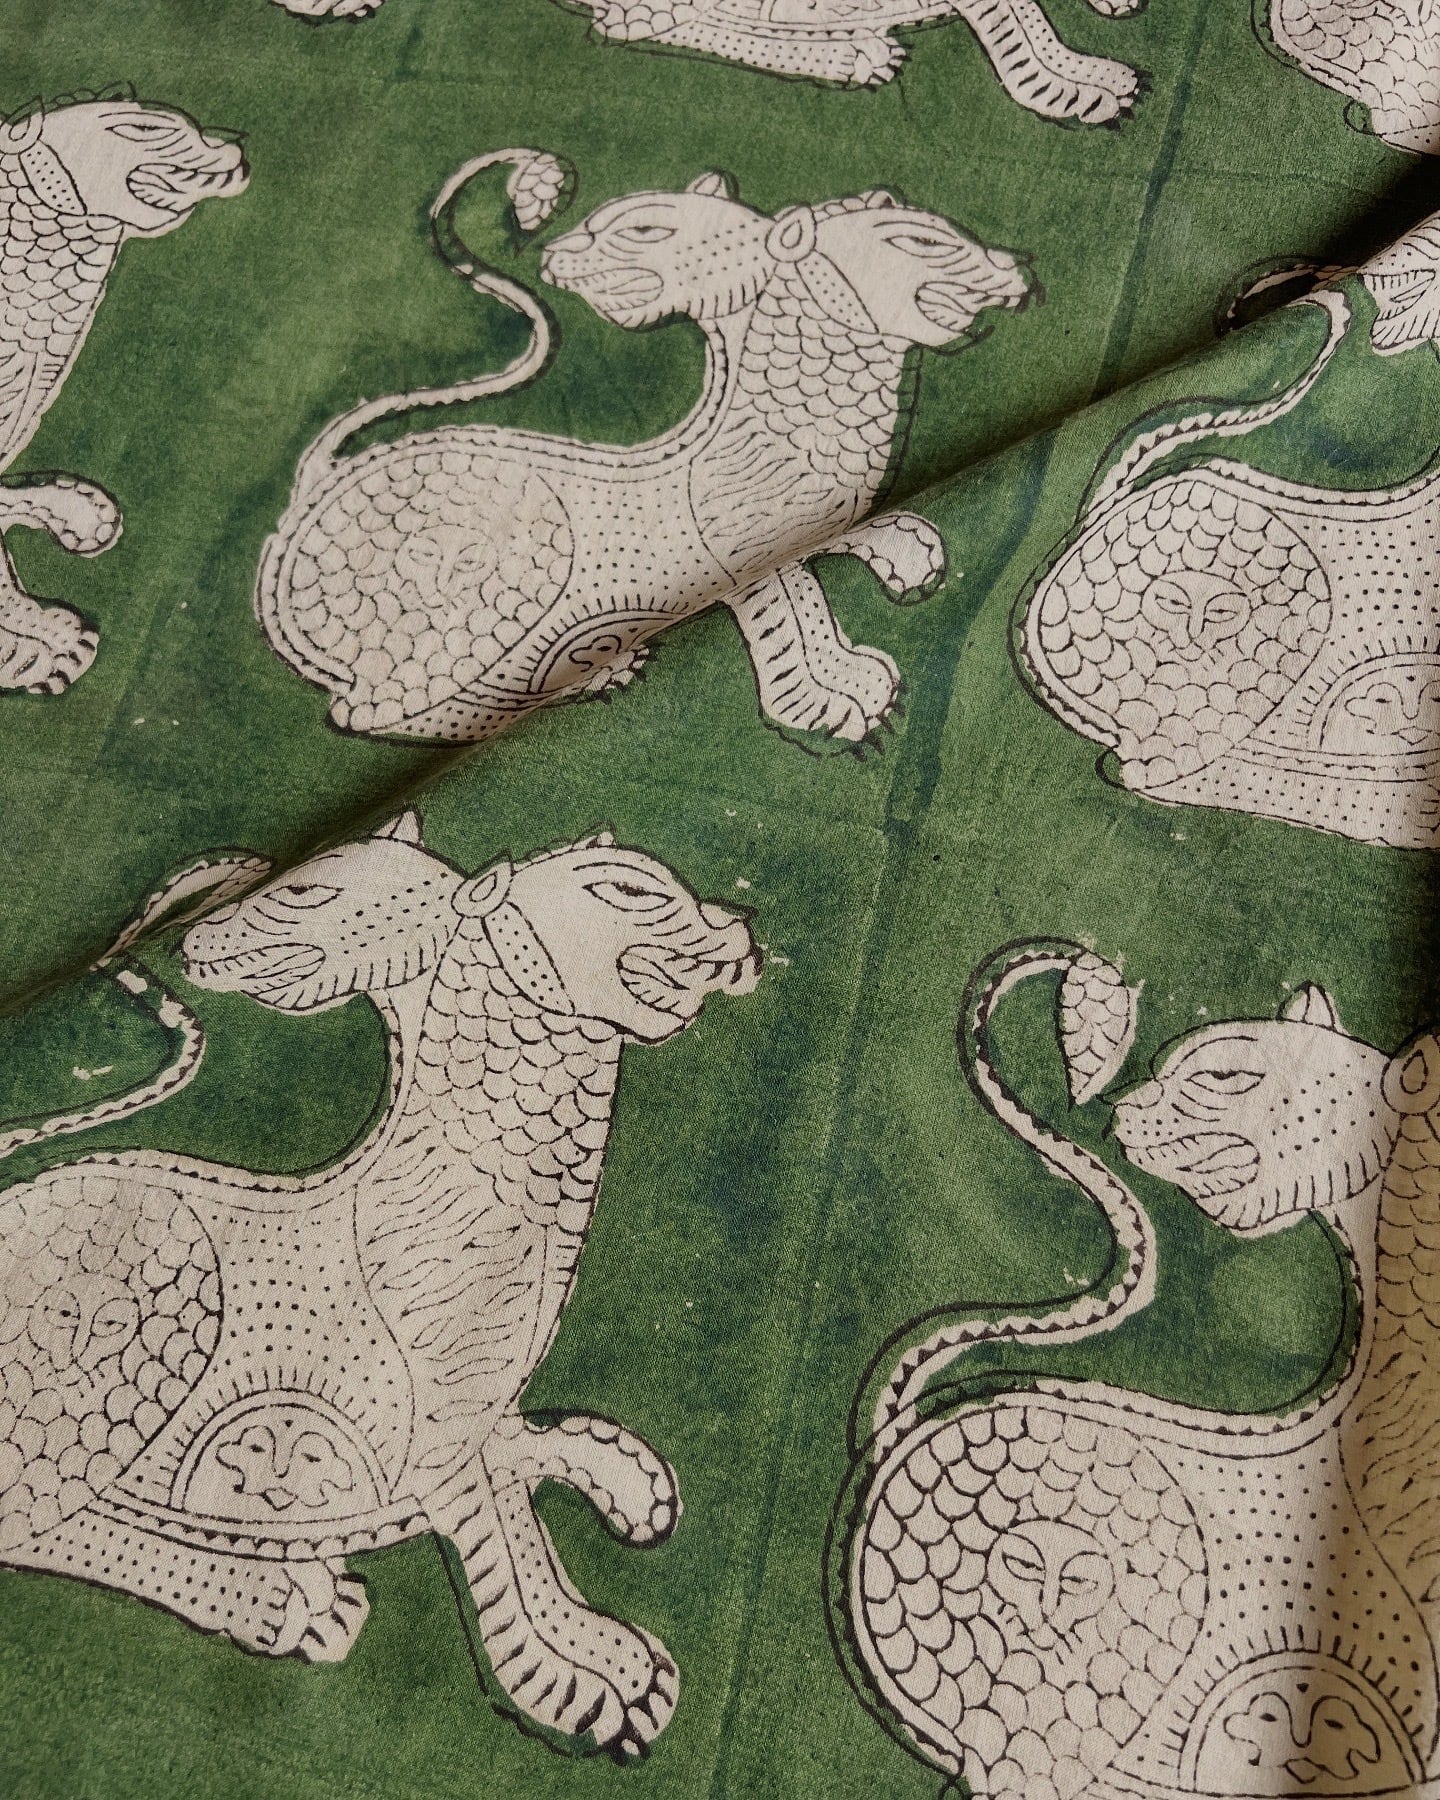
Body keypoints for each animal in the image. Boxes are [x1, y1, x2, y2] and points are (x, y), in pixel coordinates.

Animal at [0, 813, 761, 1756]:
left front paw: (619, 1478)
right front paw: (587, 1673)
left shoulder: (467, 1407)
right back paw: (277, 1601)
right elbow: (505, 1533)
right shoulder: (428, 1437)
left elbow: (520, 1458)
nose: (741, 930)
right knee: (32, 1521)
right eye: (625, 890)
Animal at [258, 150, 1031, 747]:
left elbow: (836, 549)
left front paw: (900, 549)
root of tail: (316, 483)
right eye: (918, 244)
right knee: (368, 712)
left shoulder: (809, 515)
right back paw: (575, 679)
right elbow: (788, 612)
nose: (1013, 269)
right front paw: (826, 697)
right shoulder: (743, 560)